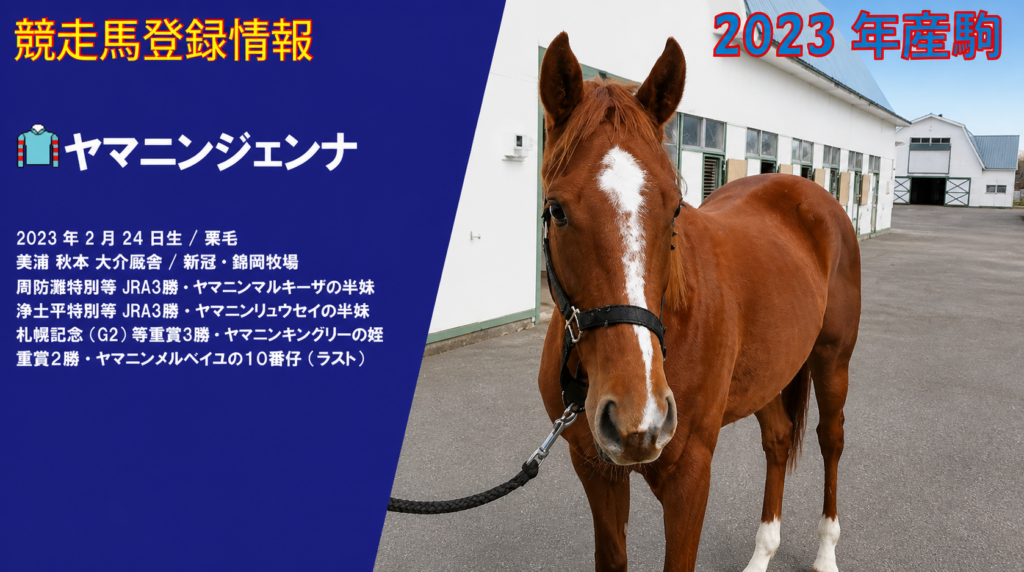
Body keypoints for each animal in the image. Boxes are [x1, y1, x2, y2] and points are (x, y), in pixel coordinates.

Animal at [537, 33, 860, 572]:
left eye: (674, 209)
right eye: (556, 210)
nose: (638, 418)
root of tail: (809, 191)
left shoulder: (690, 477)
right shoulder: (595, 471)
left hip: (832, 362)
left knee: (830, 441)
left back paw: (827, 553)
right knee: (777, 441)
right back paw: (762, 554)